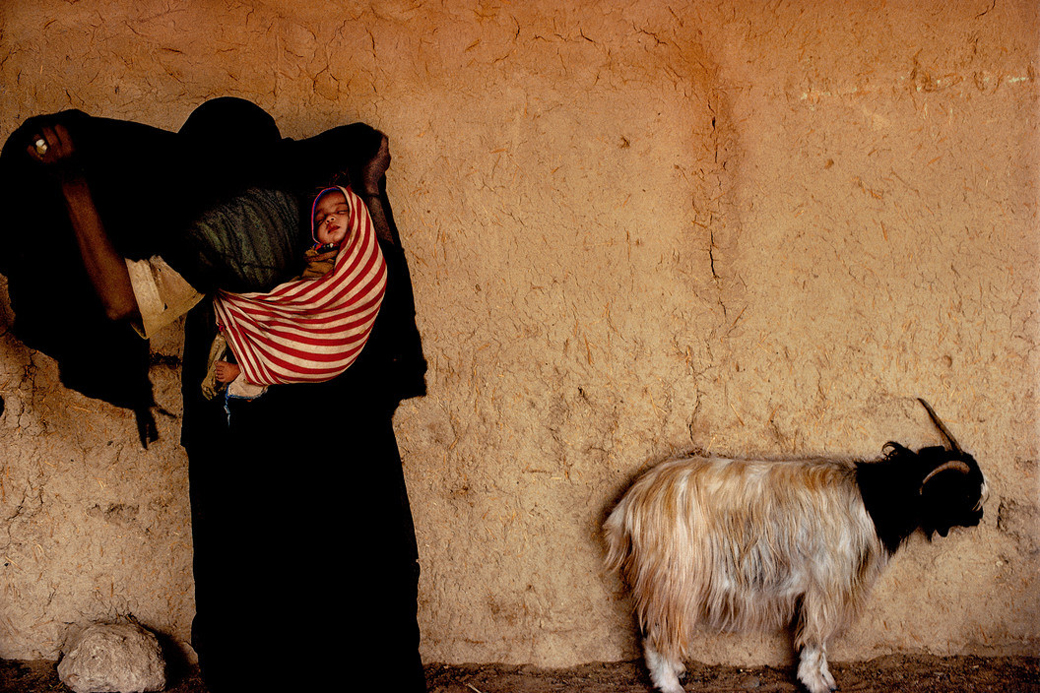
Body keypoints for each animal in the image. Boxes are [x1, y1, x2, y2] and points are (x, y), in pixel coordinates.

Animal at [603, 399, 981, 690]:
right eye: (966, 494)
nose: (978, 519)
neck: (875, 500)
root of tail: (630, 505)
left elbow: (821, 641)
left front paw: (826, 679)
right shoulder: (826, 584)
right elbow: (815, 638)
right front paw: (815, 683)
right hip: (674, 575)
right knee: (656, 633)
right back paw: (670, 683)